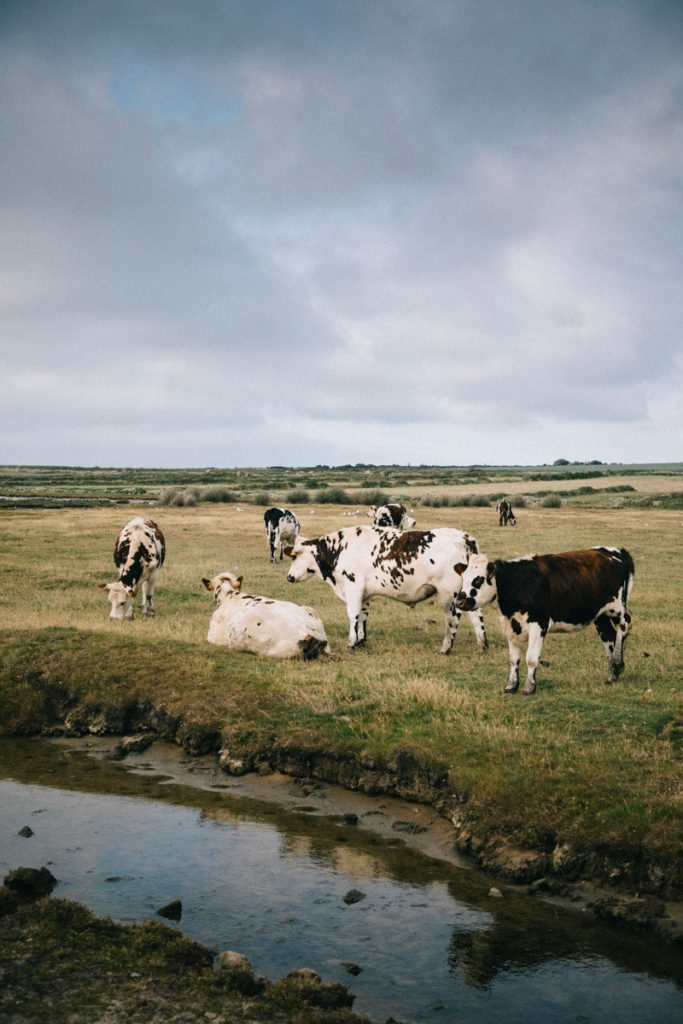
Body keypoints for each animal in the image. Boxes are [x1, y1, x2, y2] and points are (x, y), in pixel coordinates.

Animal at [285, 526, 488, 653]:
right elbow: (363, 616)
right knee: (476, 616)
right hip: (466, 592)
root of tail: (465, 538)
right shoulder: (365, 593)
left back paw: (446, 648)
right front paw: (361, 640)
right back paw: (482, 645)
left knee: (453, 619)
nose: (289, 577)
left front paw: (351, 643)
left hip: (449, 594)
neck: (340, 549)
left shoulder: (353, 586)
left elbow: (353, 614)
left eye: (295, 556)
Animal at [455, 547, 634, 695]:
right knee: (609, 638)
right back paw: (612, 675)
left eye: (478, 580)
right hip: (600, 616)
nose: (459, 601)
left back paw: (618, 663)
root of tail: (616, 551)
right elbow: (514, 659)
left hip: (617, 609)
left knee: (623, 628)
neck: (519, 583)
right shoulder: (512, 626)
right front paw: (512, 686)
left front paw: (529, 687)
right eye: (463, 579)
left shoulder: (538, 624)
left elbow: (531, 658)